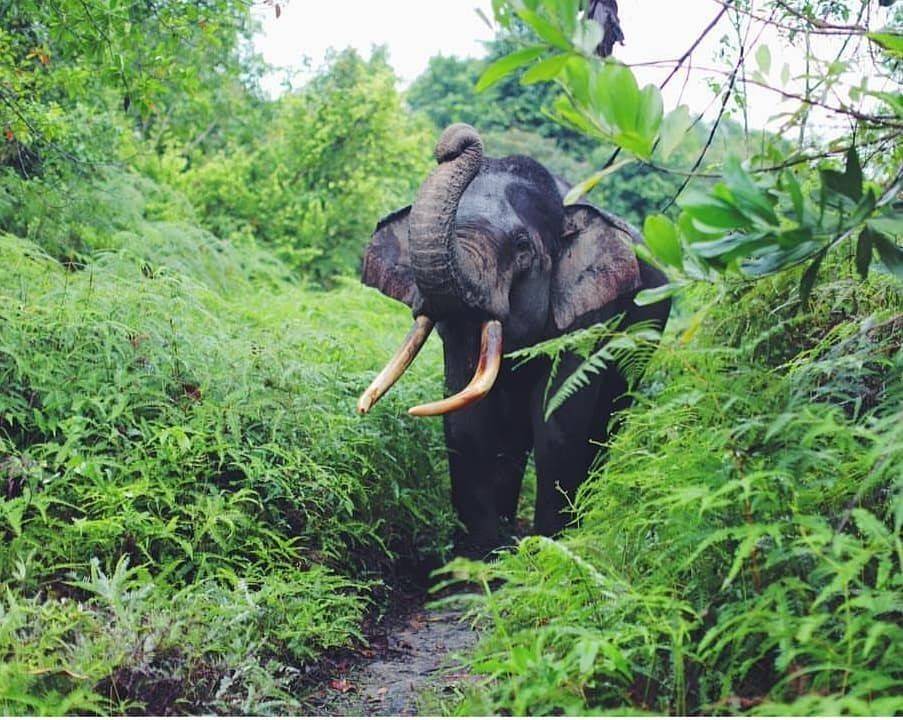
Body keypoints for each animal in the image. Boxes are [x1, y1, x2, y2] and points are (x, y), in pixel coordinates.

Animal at [356, 124, 668, 556]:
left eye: (522, 248)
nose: (452, 141)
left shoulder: (589, 314)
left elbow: (558, 422)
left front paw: (547, 552)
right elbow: (467, 422)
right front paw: (477, 560)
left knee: (607, 420)